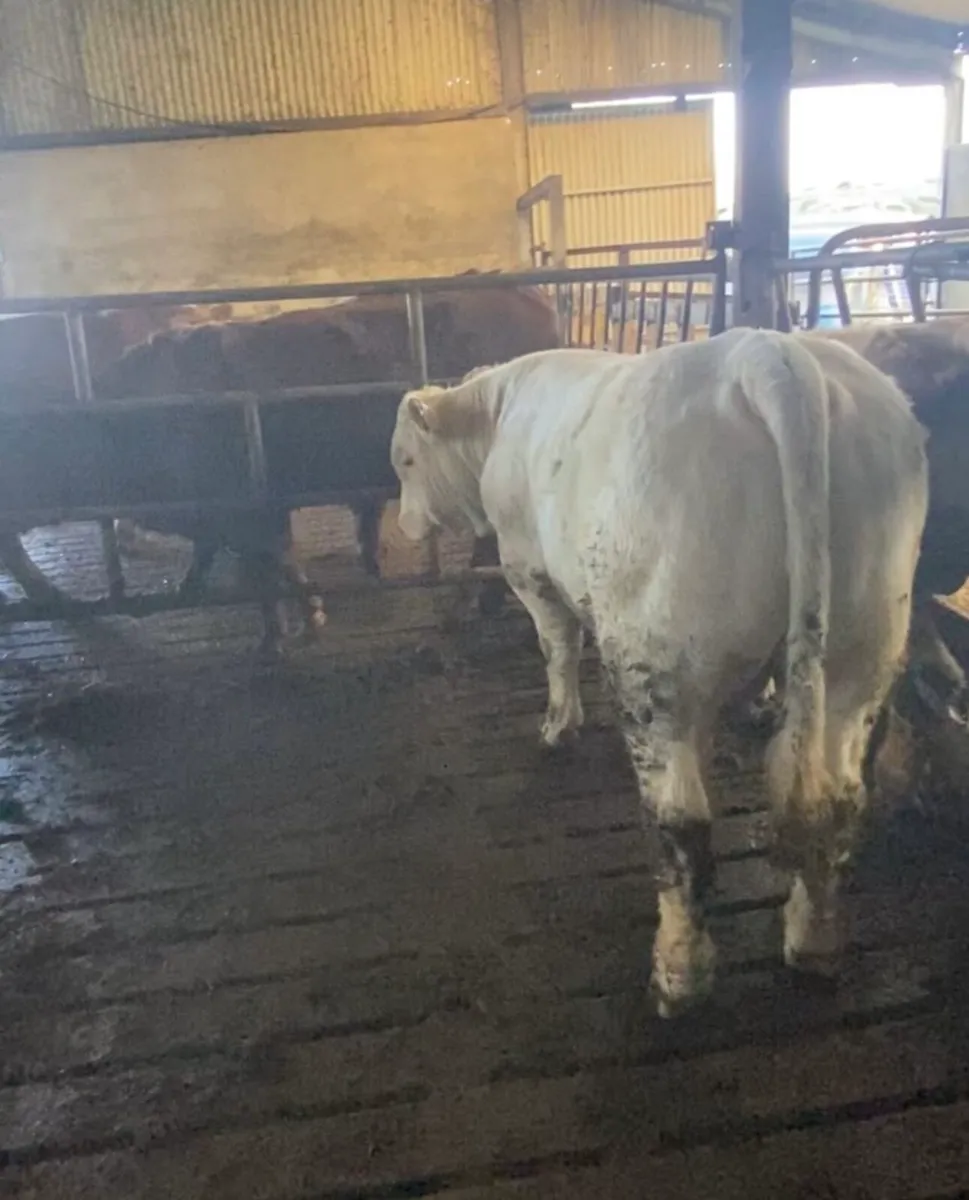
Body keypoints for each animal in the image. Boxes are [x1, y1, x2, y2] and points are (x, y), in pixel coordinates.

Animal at [389, 334, 929, 1016]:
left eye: (406, 461)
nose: (406, 528)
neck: (498, 416)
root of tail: (770, 353)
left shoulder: (528, 569)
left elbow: (557, 646)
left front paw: (558, 726)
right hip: (859, 653)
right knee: (835, 800)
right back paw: (814, 943)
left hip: (655, 667)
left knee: (682, 822)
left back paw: (679, 973)